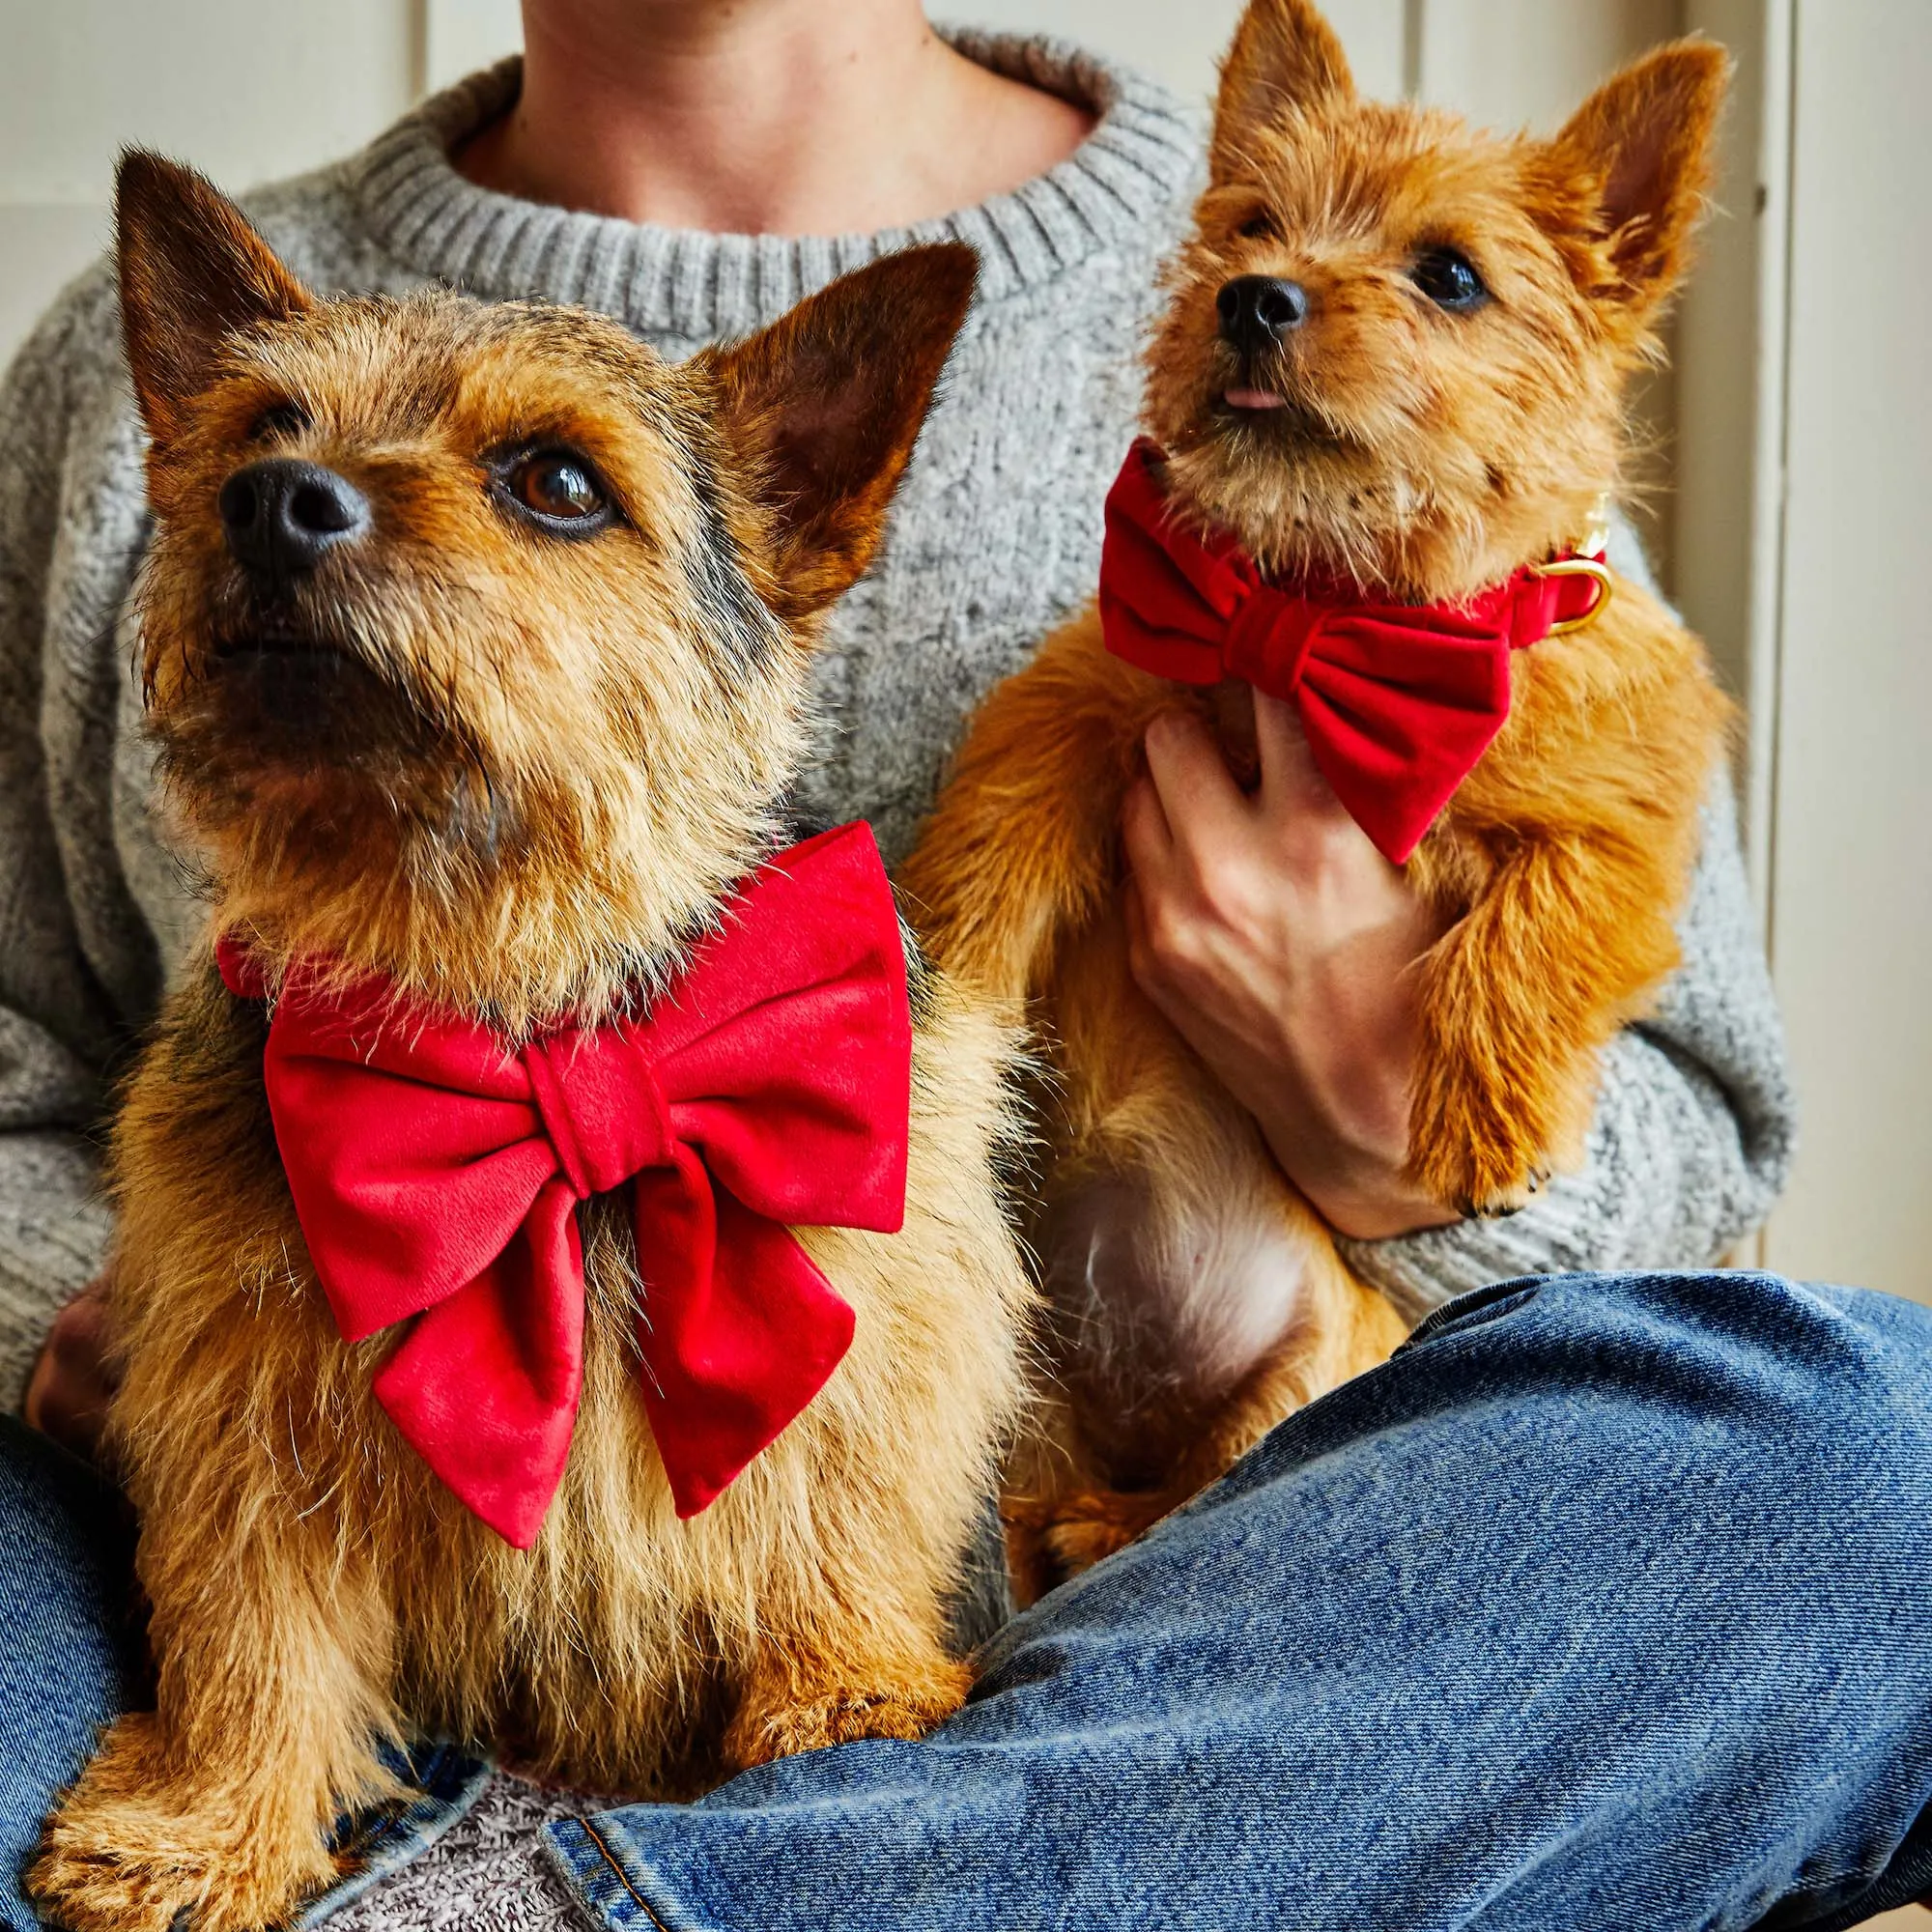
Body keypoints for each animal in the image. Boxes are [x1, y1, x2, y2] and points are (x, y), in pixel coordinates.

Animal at [30, 155, 1036, 1932]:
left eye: (558, 483)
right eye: (261, 425)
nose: (274, 499)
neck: (510, 996)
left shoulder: (880, 1290)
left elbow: (836, 1506)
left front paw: (844, 1696)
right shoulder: (248, 1397)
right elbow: (248, 1627)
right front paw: (207, 1826)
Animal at [904, 0, 1739, 1600]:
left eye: (1451, 275)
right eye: (1249, 225)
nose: (1255, 301)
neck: (1327, 607)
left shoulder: (1622, 828)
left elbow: (1541, 918)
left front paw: (1486, 1118)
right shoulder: (1094, 691)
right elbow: (992, 836)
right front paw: (949, 1007)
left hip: (1301, 1369)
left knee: (1208, 1487)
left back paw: (1116, 1524)